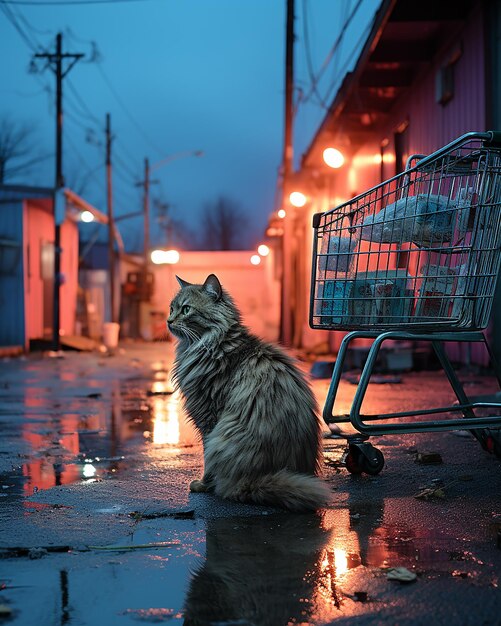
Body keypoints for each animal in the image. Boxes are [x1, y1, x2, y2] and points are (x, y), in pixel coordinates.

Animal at [168, 270, 330, 510]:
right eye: (172, 308)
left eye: (186, 309)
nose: (168, 320)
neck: (213, 343)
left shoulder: (209, 416)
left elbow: (206, 457)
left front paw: (204, 485)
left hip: (222, 436)